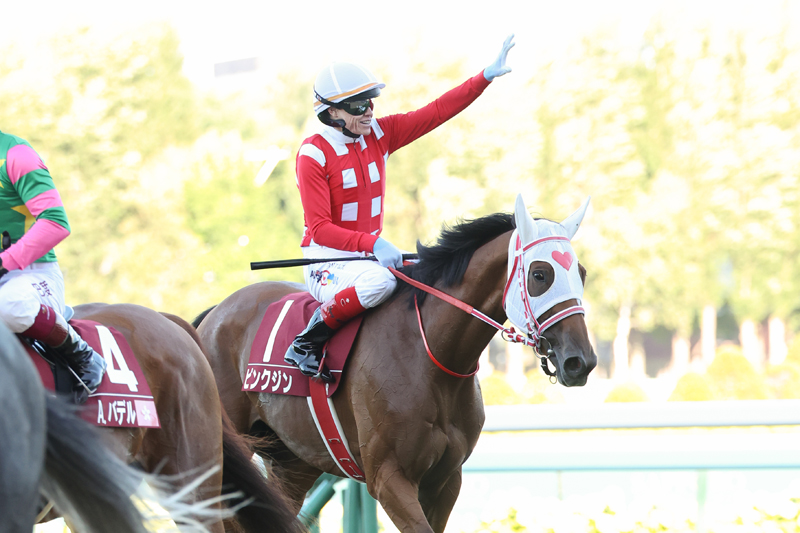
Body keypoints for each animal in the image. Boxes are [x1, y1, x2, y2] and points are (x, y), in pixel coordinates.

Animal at [193, 195, 597, 533]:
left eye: (581, 272)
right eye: (540, 274)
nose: (581, 362)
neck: (433, 358)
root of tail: (213, 314)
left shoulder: (445, 480)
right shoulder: (389, 477)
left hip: (292, 462)